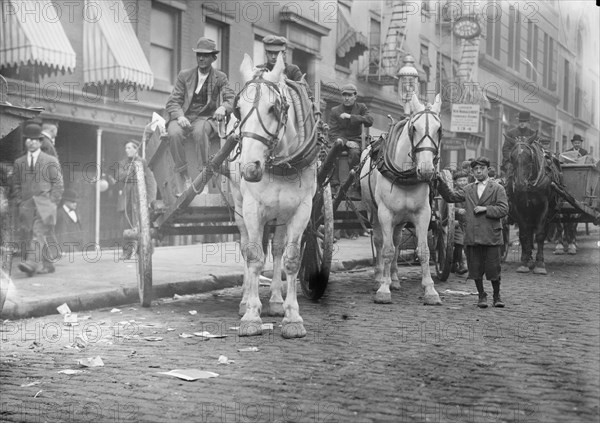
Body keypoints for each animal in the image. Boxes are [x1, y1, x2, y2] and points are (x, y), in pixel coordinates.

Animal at [226, 53, 318, 338]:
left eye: (273, 108)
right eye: (238, 110)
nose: (249, 167)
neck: (281, 162)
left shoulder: (301, 209)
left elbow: (290, 259)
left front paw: (292, 316)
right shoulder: (253, 208)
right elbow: (255, 257)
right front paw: (252, 315)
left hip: (280, 214)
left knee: (277, 249)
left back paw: (276, 301)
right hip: (239, 206)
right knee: (246, 246)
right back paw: (245, 300)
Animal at [358, 93, 442, 304]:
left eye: (439, 129)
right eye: (414, 128)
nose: (426, 170)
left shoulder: (423, 213)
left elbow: (424, 250)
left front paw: (430, 290)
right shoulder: (385, 213)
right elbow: (386, 250)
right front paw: (383, 289)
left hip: (401, 219)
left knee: (396, 241)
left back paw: (394, 278)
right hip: (374, 212)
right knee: (380, 242)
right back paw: (380, 277)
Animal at [508, 136, 560, 274]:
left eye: (529, 157)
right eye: (512, 157)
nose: (519, 185)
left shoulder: (543, 207)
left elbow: (540, 235)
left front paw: (540, 264)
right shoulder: (518, 207)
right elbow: (523, 234)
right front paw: (524, 262)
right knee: (528, 232)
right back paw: (529, 258)